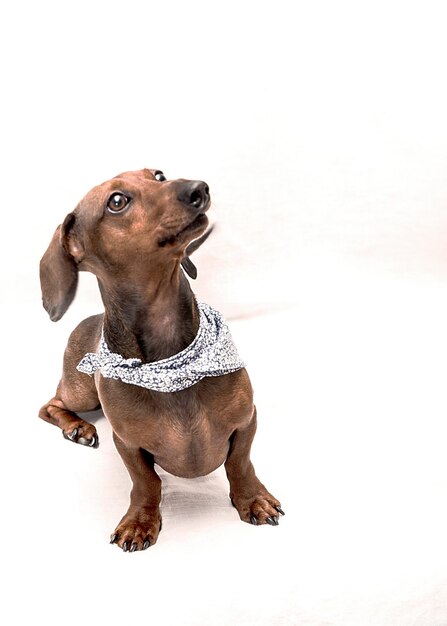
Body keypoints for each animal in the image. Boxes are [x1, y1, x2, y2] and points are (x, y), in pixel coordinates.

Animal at [38, 168, 284, 548]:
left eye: (158, 175)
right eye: (117, 201)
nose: (200, 189)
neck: (170, 362)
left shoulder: (247, 420)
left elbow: (240, 463)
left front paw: (252, 498)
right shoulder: (127, 443)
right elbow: (146, 482)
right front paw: (139, 521)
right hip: (81, 393)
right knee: (49, 405)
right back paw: (78, 427)